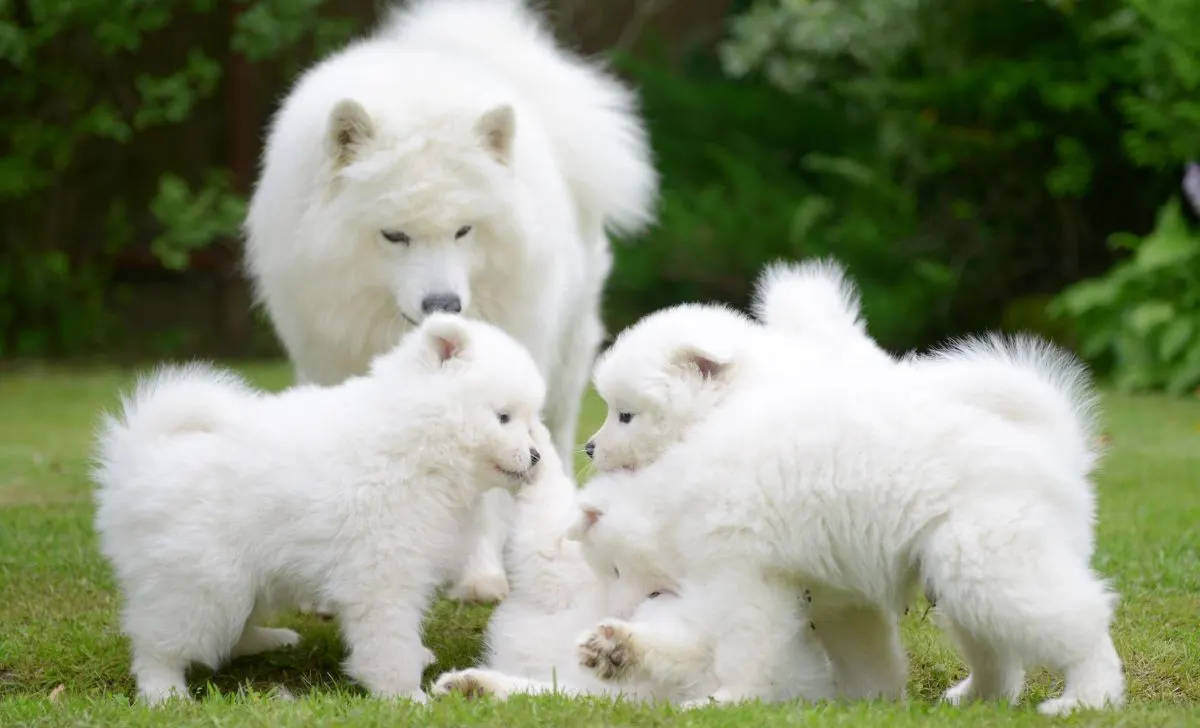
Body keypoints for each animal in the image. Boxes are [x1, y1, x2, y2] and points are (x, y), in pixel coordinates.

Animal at [243, 0, 657, 604]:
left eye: (464, 230)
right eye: (394, 236)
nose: (444, 303)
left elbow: (489, 488)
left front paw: (481, 577)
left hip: (567, 359)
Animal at [571, 326, 1123, 719]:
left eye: (625, 415)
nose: (590, 448)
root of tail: (1053, 447)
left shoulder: (746, 574)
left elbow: (745, 648)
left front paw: (729, 699)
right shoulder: (838, 594)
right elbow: (865, 653)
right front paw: (872, 700)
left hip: (994, 562)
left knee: (1082, 624)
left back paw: (1088, 699)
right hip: (963, 574)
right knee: (998, 656)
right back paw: (975, 700)